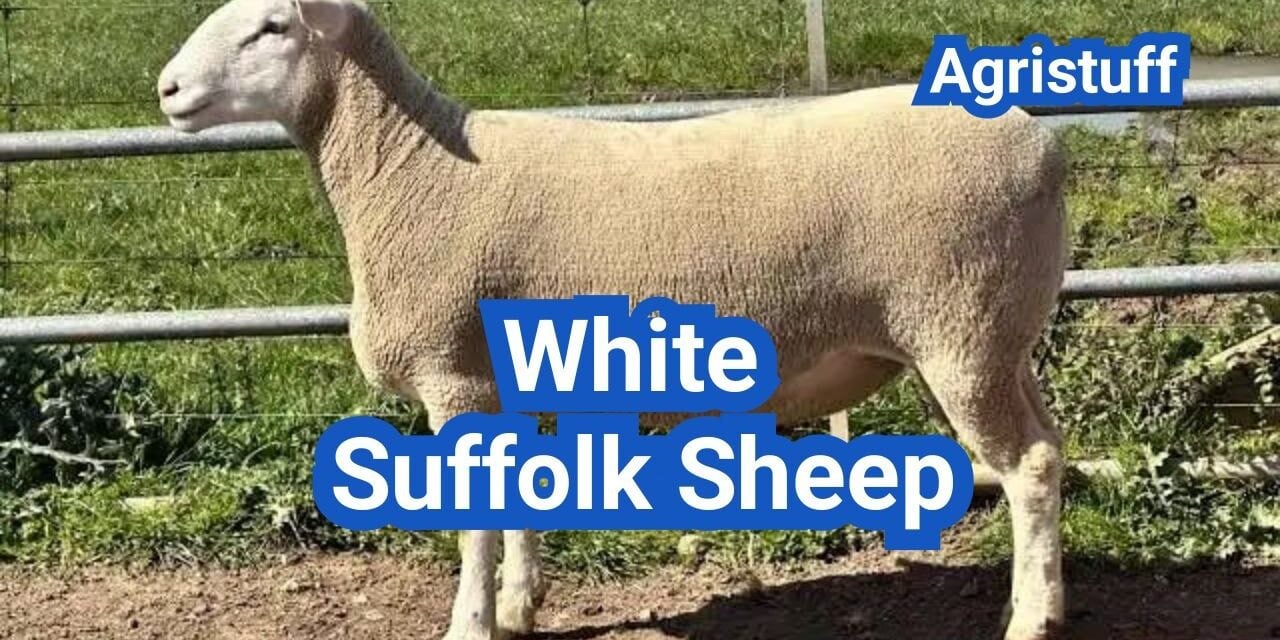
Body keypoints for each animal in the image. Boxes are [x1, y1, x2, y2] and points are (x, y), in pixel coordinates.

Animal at [156, 1, 1070, 639]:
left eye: (272, 26)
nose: (165, 87)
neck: (409, 166)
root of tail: (1044, 146)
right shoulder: (507, 381)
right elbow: (516, 500)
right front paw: (520, 606)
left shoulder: (456, 376)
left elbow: (474, 522)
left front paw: (470, 622)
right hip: (1000, 334)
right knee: (1049, 452)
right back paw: (1042, 596)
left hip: (959, 329)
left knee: (1024, 467)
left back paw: (1030, 619)